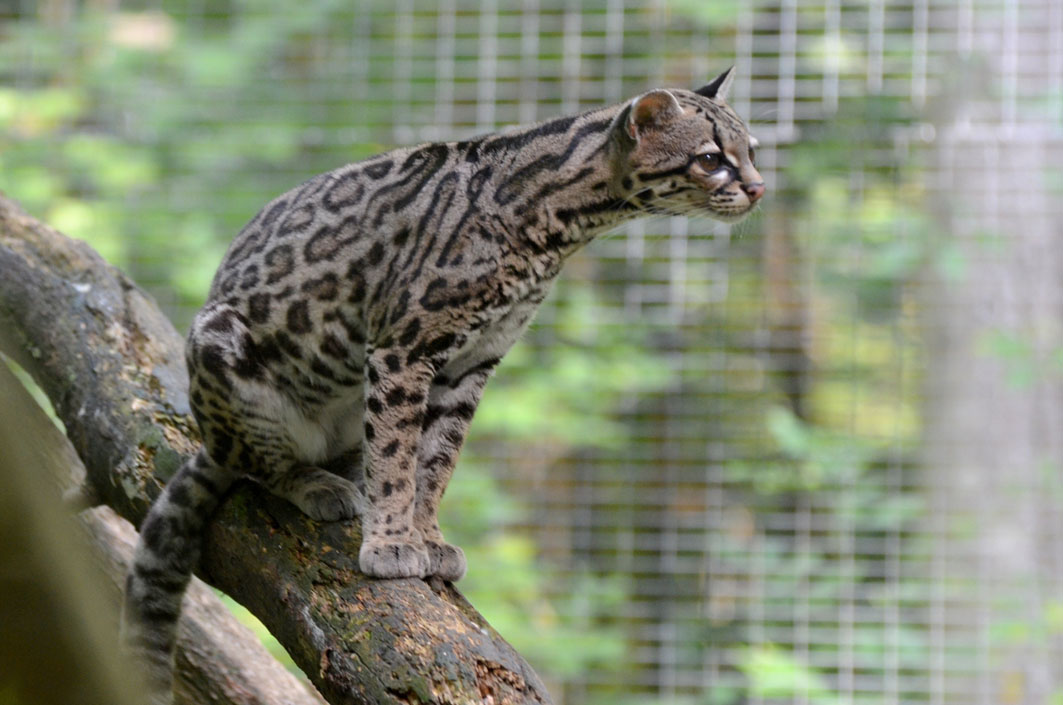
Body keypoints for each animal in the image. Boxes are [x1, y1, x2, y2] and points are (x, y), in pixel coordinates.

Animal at [123, 66, 763, 701]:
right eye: (710, 158)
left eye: (752, 151)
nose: (758, 188)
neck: (560, 224)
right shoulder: (404, 347)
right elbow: (396, 455)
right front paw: (390, 543)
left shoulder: (471, 364)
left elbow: (436, 461)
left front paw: (426, 535)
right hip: (218, 343)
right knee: (260, 465)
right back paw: (315, 483)